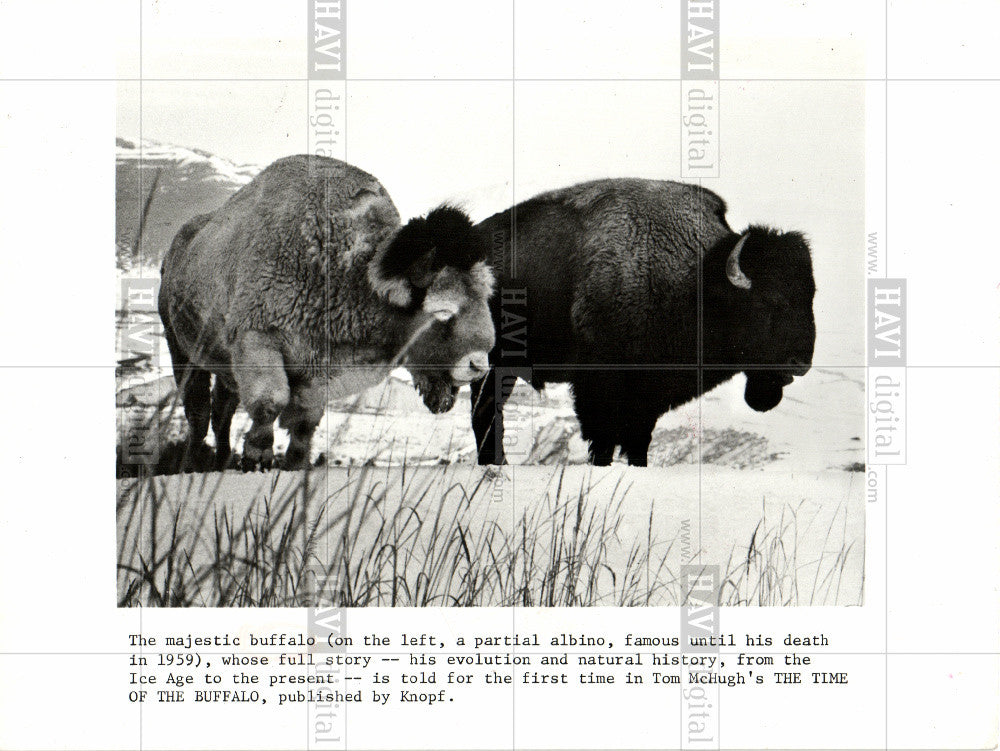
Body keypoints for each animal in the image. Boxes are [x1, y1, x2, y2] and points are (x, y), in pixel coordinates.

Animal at [157, 153, 496, 472]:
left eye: (484, 299)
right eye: (443, 311)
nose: (478, 364)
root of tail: (174, 251)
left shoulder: (317, 371)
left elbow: (305, 423)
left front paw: (295, 464)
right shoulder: (257, 339)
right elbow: (269, 402)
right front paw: (258, 457)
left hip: (223, 367)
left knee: (221, 411)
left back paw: (223, 460)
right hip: (182, 351)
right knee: (198, 412)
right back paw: (193, 463)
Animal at [472, 179, 816, 468]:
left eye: (810, 297)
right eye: (769, 301)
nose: (800, 363)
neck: (697, 279)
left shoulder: (647, 397)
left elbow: (637, 442)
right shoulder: (600, 386)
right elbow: (604, 439)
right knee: (485, 415)